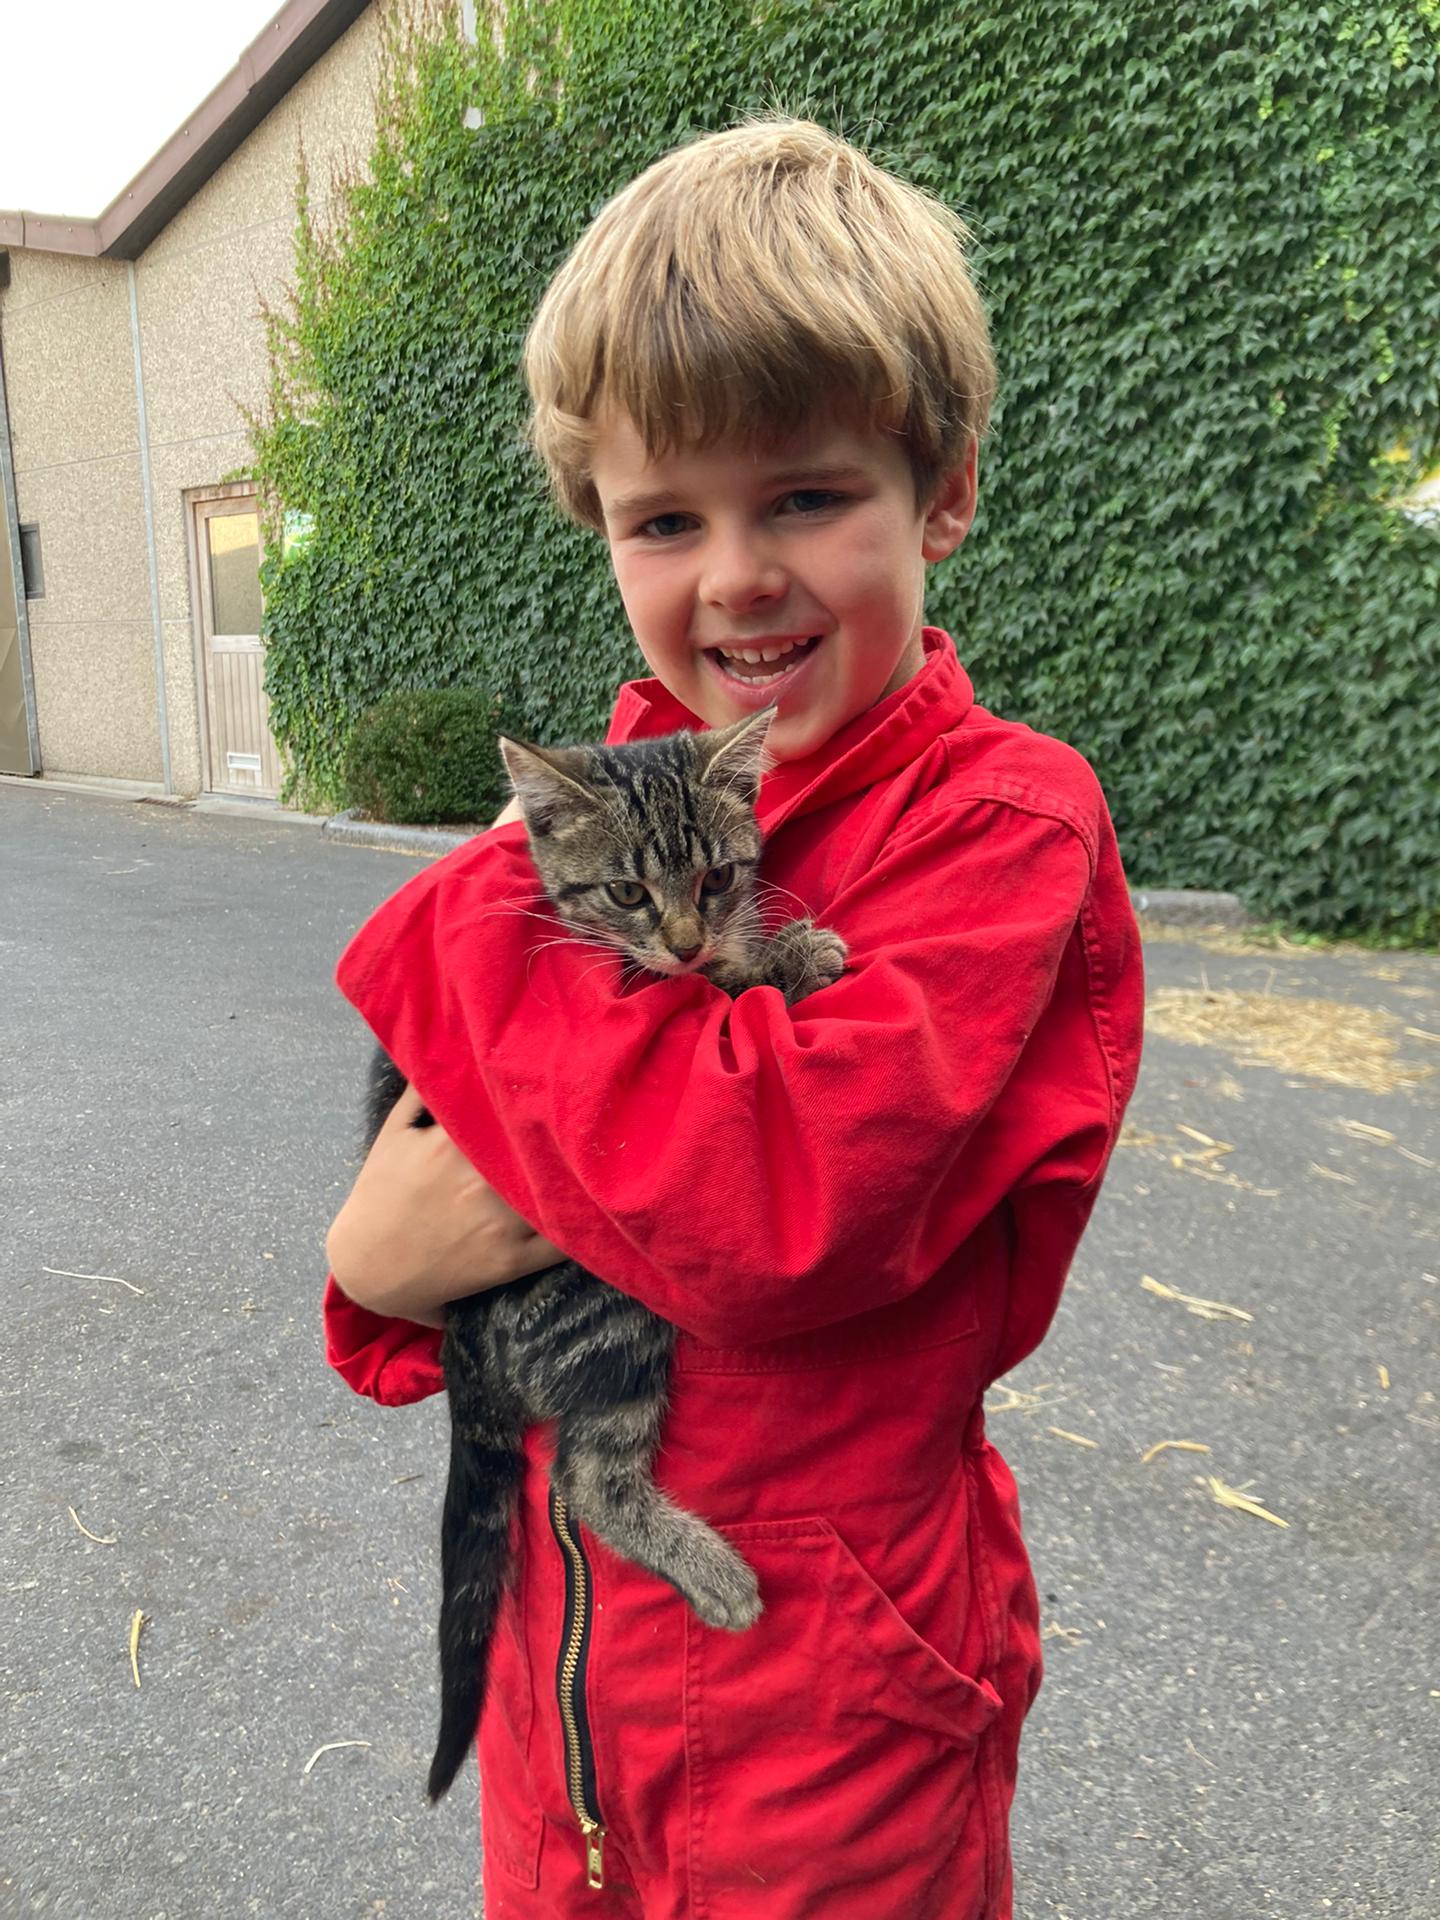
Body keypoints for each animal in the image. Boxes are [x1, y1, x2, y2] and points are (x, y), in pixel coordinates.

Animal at [359, 707, 848, 1803]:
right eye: (627, 892)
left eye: (717, 877)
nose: (687, 939)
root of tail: (462, 1325)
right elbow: (721, 1004)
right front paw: (786, 957)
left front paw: (754, 944)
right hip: (618, 1310)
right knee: (590, 1483)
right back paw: (713, 1569)